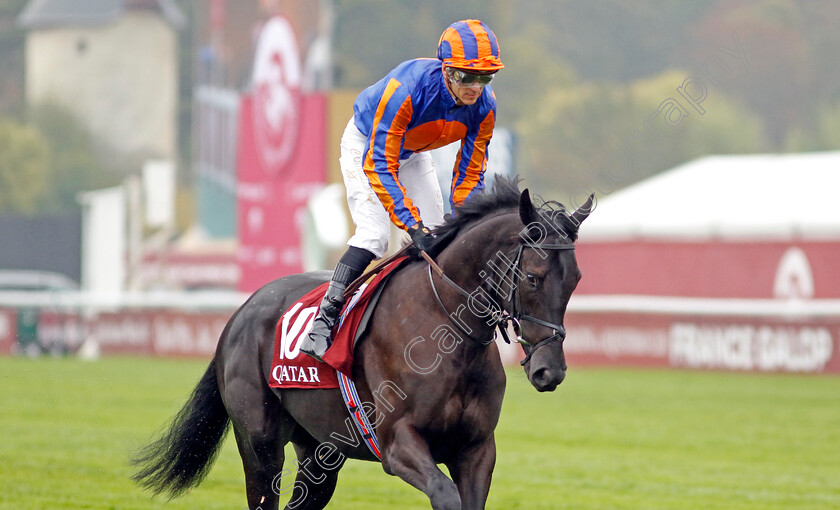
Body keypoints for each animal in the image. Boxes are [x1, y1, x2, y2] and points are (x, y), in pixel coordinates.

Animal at [133, 176, 592, 510]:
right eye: (532, 277)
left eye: (575, 279)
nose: (549, 370)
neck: (448, 336)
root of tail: (239, 313)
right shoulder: (398, 444)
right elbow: (445, 495)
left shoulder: (476, 449)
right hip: (259, 443)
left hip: (319, 451)